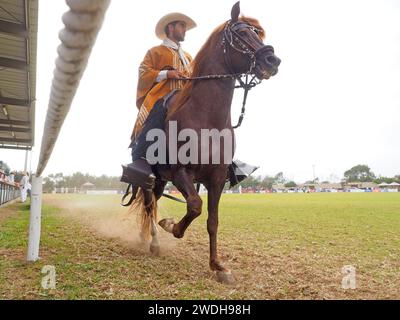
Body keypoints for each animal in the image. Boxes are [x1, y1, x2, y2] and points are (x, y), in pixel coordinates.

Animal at [130, 1, 280, 282]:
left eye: (258, 32)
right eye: (242, 33)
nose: (272, 60)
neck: (206, 117)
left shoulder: (217, 178)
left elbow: (212, 220)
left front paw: (218, 266)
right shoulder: (181, 171)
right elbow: (195, 206)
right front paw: (171, 226)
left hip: (162, 180)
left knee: (152, 204)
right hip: (150, 177)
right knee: (149, 204)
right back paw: (153, 241)